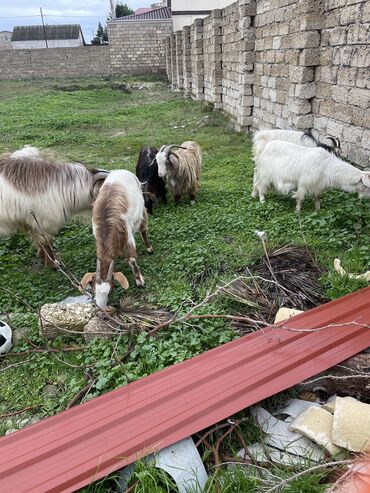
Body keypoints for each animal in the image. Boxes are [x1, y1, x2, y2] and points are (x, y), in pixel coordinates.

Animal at [79, 171, 152, 306]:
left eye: (110, 292)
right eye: (94, 291)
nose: (101, 308)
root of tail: (121, 170)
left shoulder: (128, 236)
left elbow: (132, 261)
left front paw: (140, 281)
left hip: (141, 210)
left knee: (143, 228)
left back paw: (149, 248)